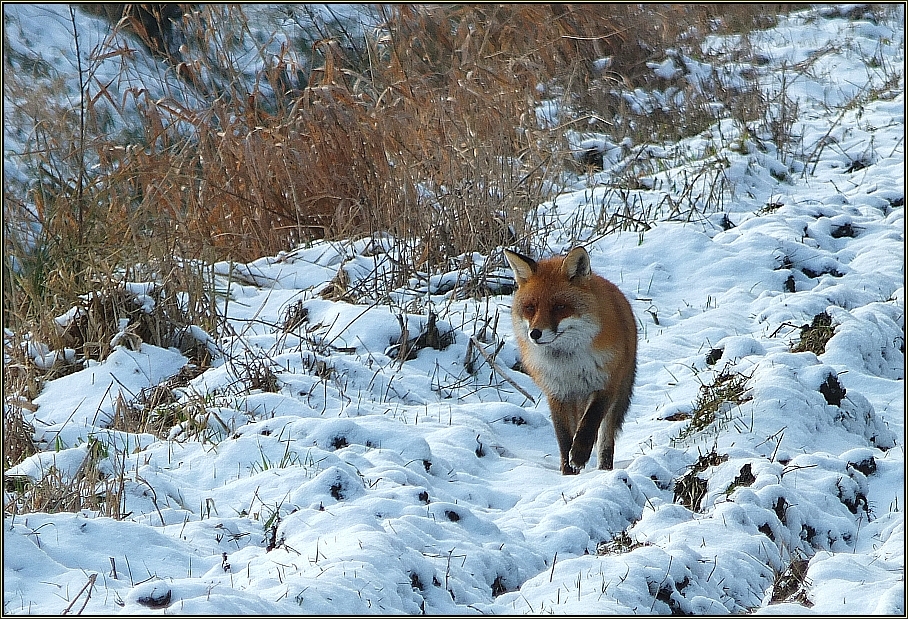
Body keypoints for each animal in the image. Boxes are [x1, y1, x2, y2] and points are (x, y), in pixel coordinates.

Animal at [504, 247, 640, 474]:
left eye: (559, 307)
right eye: (530, 307)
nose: (535, 334)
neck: (568, 366)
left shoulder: (606, 384)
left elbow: (589, 423)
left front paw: (579, 455)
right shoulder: (557, 393)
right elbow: (563, 437)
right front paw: (568, 471)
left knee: (605, 440)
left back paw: (604, 469)